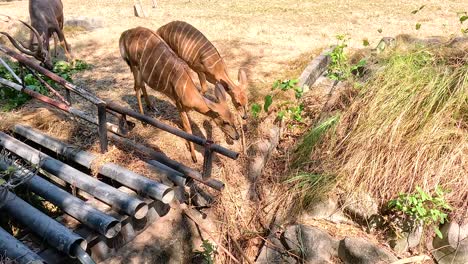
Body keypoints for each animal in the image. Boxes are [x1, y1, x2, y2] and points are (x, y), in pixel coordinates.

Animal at [119, 27, 239, 163]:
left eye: (233, 118)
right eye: (225, 121)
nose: (236, 136)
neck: (187, 89)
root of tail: (125, 33)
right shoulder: (179, 104)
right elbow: (188, 129)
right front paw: (193, 156)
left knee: (142, 85)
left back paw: (152, 107)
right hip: (135, 66)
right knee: (137, 88)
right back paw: (144, 121)